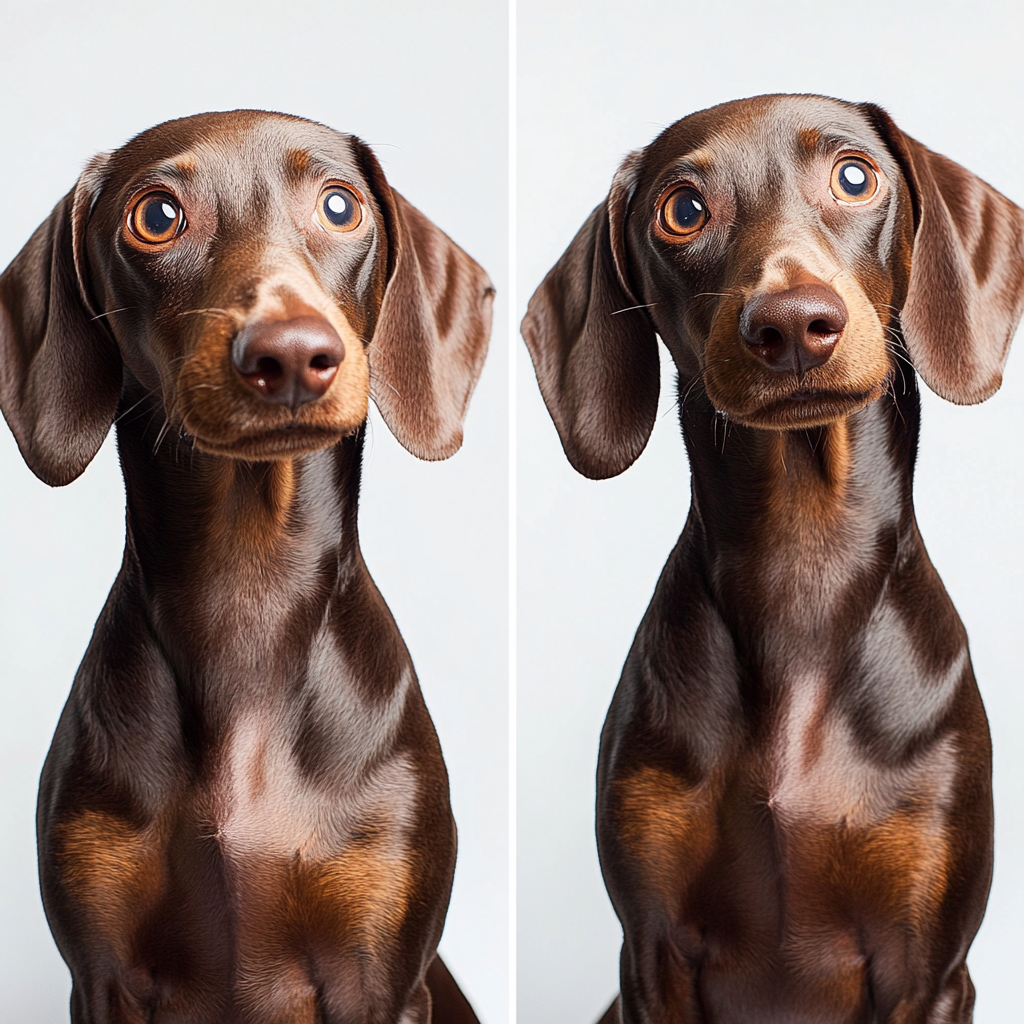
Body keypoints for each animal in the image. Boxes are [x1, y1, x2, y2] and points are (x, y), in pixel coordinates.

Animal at [0, 110, 493, 1024]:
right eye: (157, 216)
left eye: (340, 205)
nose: (291, 353)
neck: (247, 598)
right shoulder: (101, 977)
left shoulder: (382, 976)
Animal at [524, 92, 1024, 1019]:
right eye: (683, 209)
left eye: (855, 177)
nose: (793, 323)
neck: (803, 563)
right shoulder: (651, 958)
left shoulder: (932, 969)